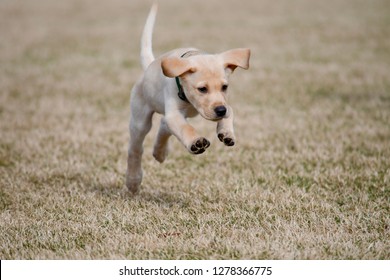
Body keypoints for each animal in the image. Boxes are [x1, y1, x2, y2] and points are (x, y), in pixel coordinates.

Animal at [126, 4, 251, 194]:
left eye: (225, 87)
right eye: (202, 89)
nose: (220, 110)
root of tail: (148, 68)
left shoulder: (223, 102)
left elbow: (230, 112)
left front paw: (226, 133)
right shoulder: (175, 113)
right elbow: (185, 128)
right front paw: (196, 142)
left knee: (163, 125)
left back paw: (159, 152)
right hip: (140, 119)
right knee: (135, 149)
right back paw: (133, 180)